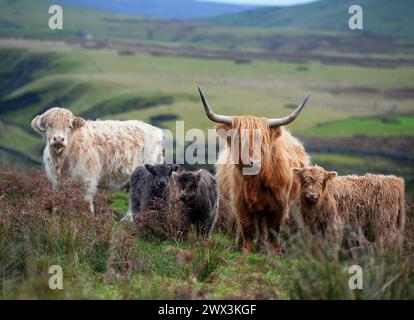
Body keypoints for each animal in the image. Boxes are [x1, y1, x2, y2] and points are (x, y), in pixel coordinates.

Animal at [31, 107, 164, 215]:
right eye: (49, 125)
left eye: (69, 126)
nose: (59, 139)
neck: (62, 160)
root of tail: (156, 131)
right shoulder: (56, 180)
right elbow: (57, 198)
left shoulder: (88, 177)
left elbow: (87, 199)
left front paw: (88, 216)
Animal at [197, 87, 310, 252]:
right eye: (240, 140)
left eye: (262, 140)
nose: (253, 162)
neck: (256, 180)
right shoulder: (240, 202)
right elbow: (247, 228)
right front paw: (246, 250)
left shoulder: (280, 204)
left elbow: (273, 230)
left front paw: (275, 252)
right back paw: (240, 245)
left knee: (262, 225)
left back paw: (262, 247)